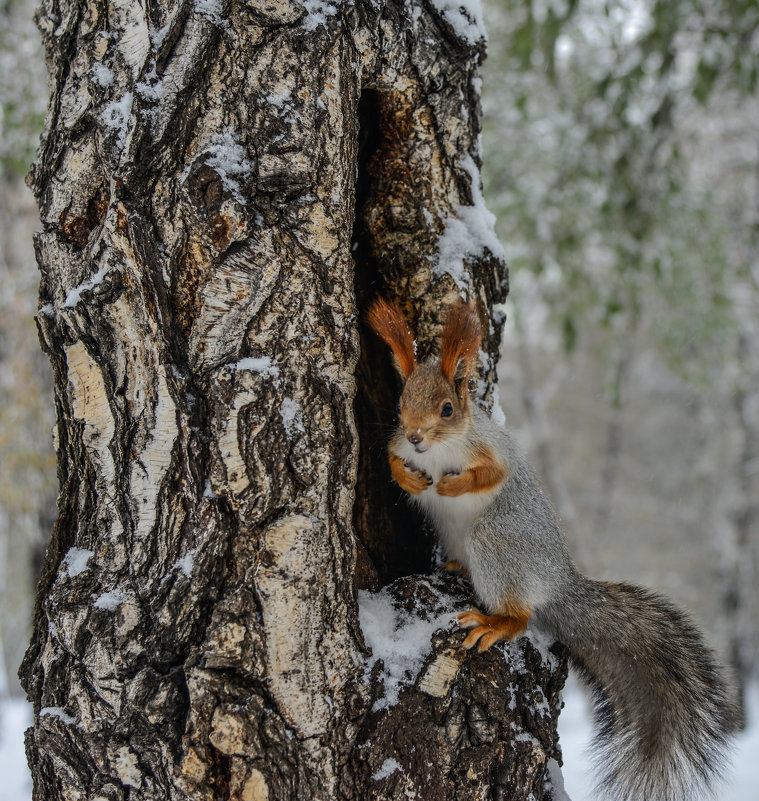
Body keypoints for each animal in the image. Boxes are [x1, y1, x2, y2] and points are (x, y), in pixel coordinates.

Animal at [366, 296, 736, 800]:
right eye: (401, 402)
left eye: (447, 408)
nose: (418, 437)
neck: (437, 453)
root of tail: (558, 582)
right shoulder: (399, 442)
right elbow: (390, 457)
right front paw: (408, 477)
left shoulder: (492, 448)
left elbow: (491, 474)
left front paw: (453, 485)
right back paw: (458, 569)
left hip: (496, 543)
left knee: (520, 615)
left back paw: (494, 623)